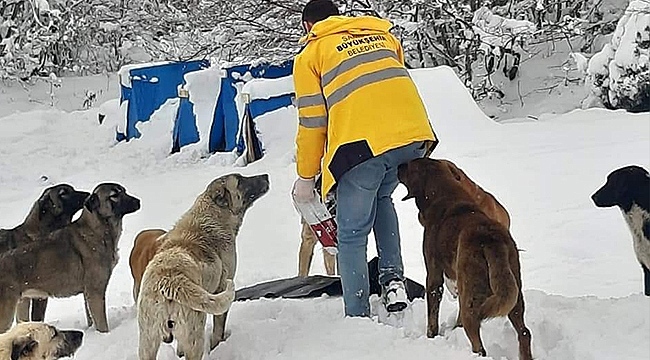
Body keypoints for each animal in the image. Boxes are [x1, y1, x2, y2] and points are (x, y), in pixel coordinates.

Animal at [0, 184, 140, 334]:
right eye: (114, 195)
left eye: (124, 191)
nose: (138, 201)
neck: (98, 229)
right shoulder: (95, 291)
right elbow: (102, 324)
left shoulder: (86, 294)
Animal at [137, 173, 268, 358]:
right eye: (240, 180)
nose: (266, 176)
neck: (213, 212)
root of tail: (168, 281)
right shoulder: (222, 286)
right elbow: (218, 329)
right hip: (194, 335)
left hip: (147, 340)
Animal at [394, 159, 532, 360]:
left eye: (410, 165)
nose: (398, 165)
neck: (445, 194)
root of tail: (490, 240)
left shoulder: (433, 274)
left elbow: (432, 316)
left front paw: (431, 336)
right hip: (513, 292)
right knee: (524, 332)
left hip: (471, 300)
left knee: (479, 346)